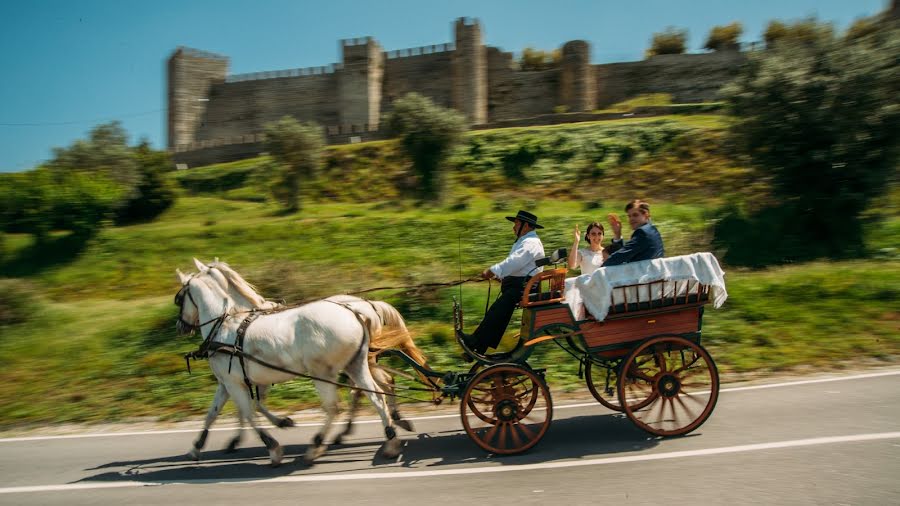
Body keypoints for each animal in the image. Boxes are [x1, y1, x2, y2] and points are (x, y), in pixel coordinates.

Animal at [176, 258, 400, 464]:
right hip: (356, 364)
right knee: (376, 394)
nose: (180, 326)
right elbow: (214, 414)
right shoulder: (229, 382)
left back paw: (317, 445)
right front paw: (196, 448)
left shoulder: (234, 383)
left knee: (335, 407)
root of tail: (357, 311)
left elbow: (249, 412)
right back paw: (390, 439)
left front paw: (273, 447)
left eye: (179, 298)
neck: (228, 324)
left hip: (323, 372)